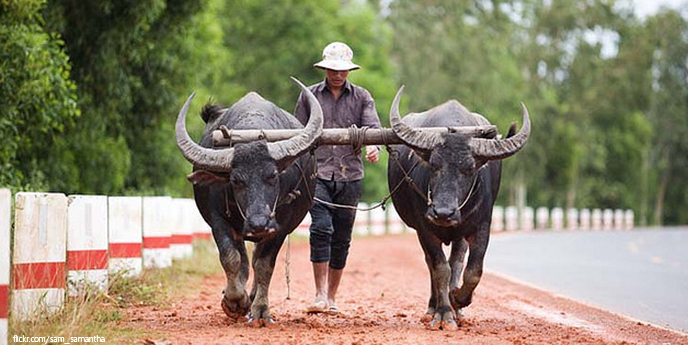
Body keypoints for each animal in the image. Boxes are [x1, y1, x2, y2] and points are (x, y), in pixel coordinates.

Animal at [173, 78, 322, 326]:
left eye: (273, 176)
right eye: (236, 180)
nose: (258, 223)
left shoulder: (280, 226)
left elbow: (264, 266)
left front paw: (260, 310)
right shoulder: (218, 220)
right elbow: (231, 259)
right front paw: (234, 302)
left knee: (254, 260)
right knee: (243, 259)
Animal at [390, 86, 528, 328]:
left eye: (469, 169)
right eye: (433, 165)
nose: (443, 213)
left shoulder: (481, 226)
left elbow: (473, 270)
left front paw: (458, 300)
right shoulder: (424, 228)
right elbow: (440, 268)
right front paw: (444, 312)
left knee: (457, 261)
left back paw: (457, 308)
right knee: (433, 264)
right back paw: (433, 306)